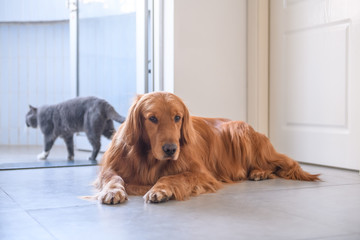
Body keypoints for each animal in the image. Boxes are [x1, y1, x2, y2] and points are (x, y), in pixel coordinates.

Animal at [93, 92, 320, 204]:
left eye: (177, 117)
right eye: (152, 118)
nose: (171, 149)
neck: (148, 158)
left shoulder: (201, 173)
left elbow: (171, 177)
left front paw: (160, 189)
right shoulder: (110, 168)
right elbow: (114, 178)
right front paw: (113, 191)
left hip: (240, 130)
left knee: (276, 164)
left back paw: (260, 172)